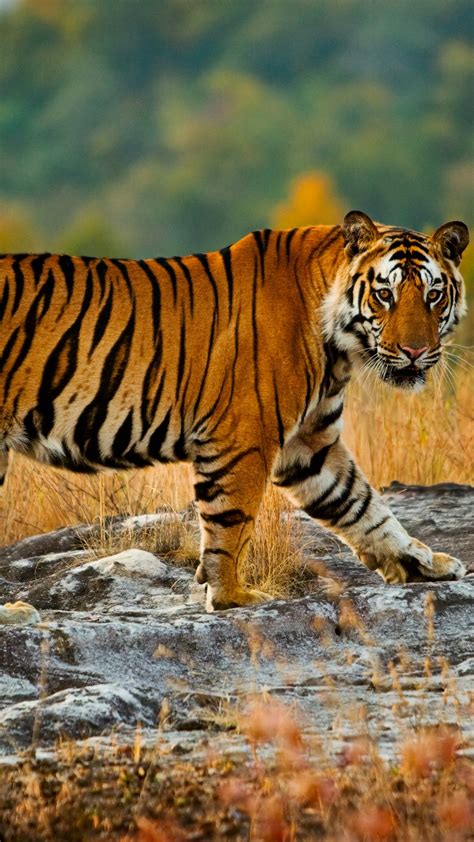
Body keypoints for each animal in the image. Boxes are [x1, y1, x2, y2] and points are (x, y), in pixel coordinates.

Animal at [0, 208, 468, 604]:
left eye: (434, 296)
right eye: (385, 294)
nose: (414, 351)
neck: (339, 349)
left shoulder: (309, 445)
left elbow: (365, 507)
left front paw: (423, 564)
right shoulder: (243, 437)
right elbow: (230, 523)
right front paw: (231, 597)